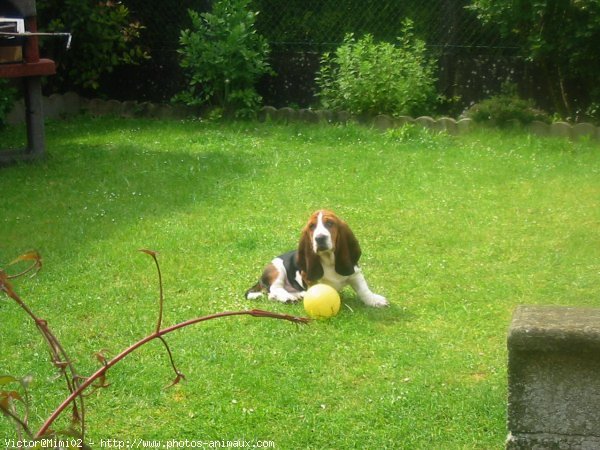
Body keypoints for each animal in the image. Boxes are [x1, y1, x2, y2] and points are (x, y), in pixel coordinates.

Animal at [245, 209, 390, 308]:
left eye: (330, 223)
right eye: (311, 226)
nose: (320, 238)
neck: (329, 260)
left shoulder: (355, 273)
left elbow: (364, 289)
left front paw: (374, 300)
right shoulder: (310, 279)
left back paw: (298, 295)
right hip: (277, 269)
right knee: (274, 290)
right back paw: (288, 297)